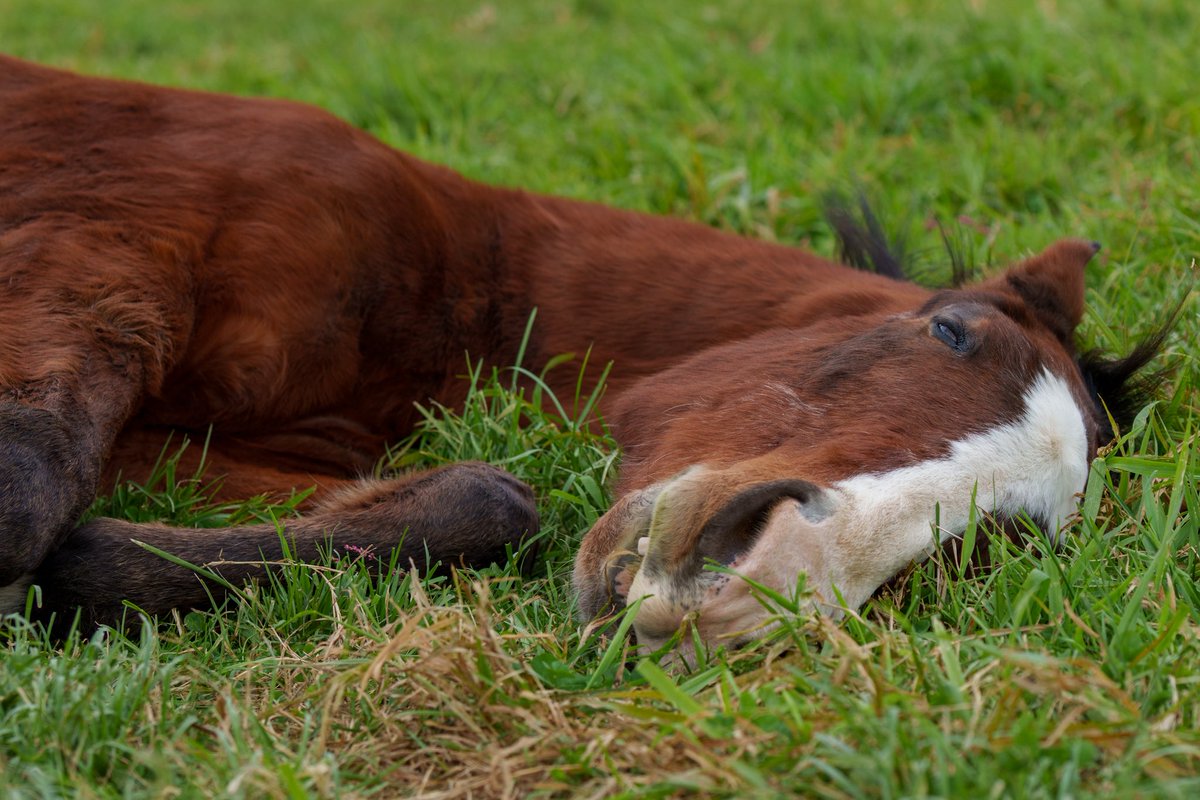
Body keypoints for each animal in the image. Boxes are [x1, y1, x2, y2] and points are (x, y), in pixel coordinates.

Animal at [0, 56, 1161, 650]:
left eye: (993, 545)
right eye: (948, 330)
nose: (743, 583)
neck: (453, 285)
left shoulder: (184, 448)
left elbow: (488, 500)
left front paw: (92, 570)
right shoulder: (103, 248)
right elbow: (28, 471)